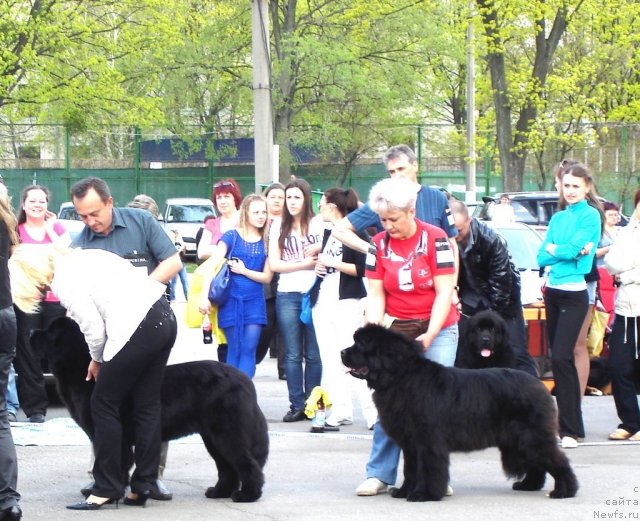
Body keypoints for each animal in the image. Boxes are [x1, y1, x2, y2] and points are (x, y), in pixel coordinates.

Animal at [31, 314, 268, 502]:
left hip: (226, 432)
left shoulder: (110, 431)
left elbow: (112, 462)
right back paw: (219, 492)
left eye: (50, 332)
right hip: (211, 436)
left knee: (246, 463)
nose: (32, 331)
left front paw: (104, 493)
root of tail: (243, 379)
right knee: (227, 467)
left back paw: (247, 495)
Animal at [342, 324, 576, 500]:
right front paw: (404, 491)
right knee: (538, 463)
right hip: (522, 439)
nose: (342, 352)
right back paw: (528, 485)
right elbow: (410, 469)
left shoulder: (428, 441)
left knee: (557, 460)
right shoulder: (410, 443)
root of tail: (540, 385)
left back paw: (565, 491)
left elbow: (429, 468)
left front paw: (424, 494)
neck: (401, 377)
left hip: (530, 436)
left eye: (361, 343)